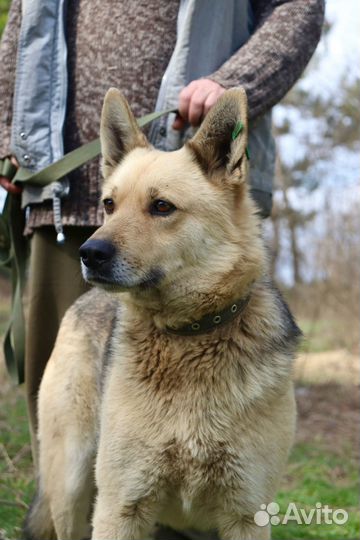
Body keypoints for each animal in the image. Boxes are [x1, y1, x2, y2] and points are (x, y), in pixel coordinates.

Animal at [24, 86, 300, 536]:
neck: (190, 334)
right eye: (109, 204)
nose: (89, 254)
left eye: (162, 207)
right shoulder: (120, 507)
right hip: (70, 485)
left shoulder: (247, 515)